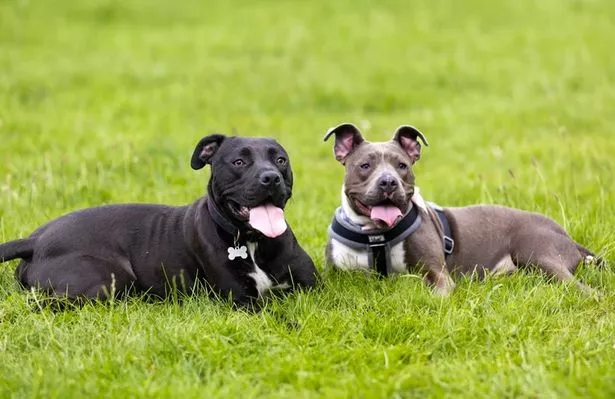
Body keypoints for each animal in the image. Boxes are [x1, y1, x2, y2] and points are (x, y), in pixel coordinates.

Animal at [0, 136, 318, 308]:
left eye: (280, 161)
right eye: (239, 162)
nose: (271, 178)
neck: (251, 241)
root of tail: (34, 241)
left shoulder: (314, 288)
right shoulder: (242, 302)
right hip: (107, 280)